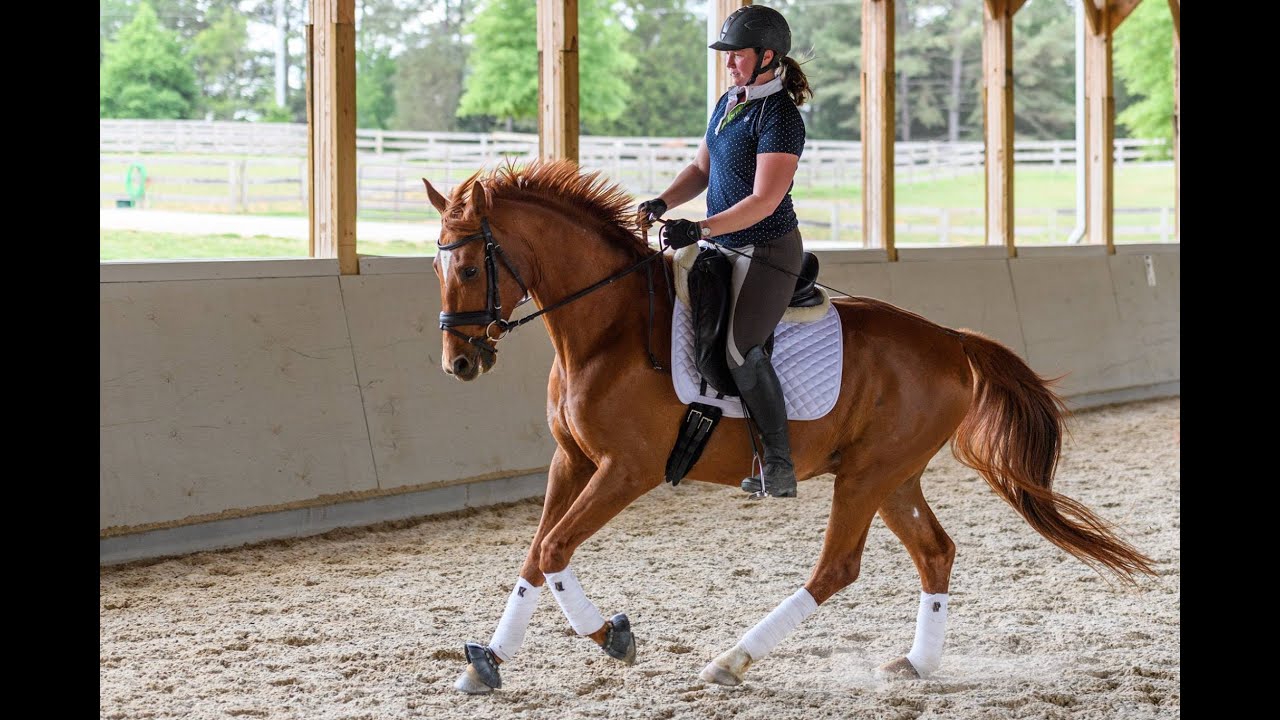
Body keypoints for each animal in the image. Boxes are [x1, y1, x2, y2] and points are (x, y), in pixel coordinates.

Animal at [421, 159, 1155, 694]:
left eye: (469, 266)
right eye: (434, 266)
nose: (458, 362)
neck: (609, 330)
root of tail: (950, 339)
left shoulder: (626, 470)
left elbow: (554, 550)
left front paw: (613, 637)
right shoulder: (571, 460)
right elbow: (534, 556)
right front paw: (487, 661)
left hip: (865, 477)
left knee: (837, 568)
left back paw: (730, 661)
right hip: (892, 475)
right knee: (936, 552)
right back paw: (915, 664)